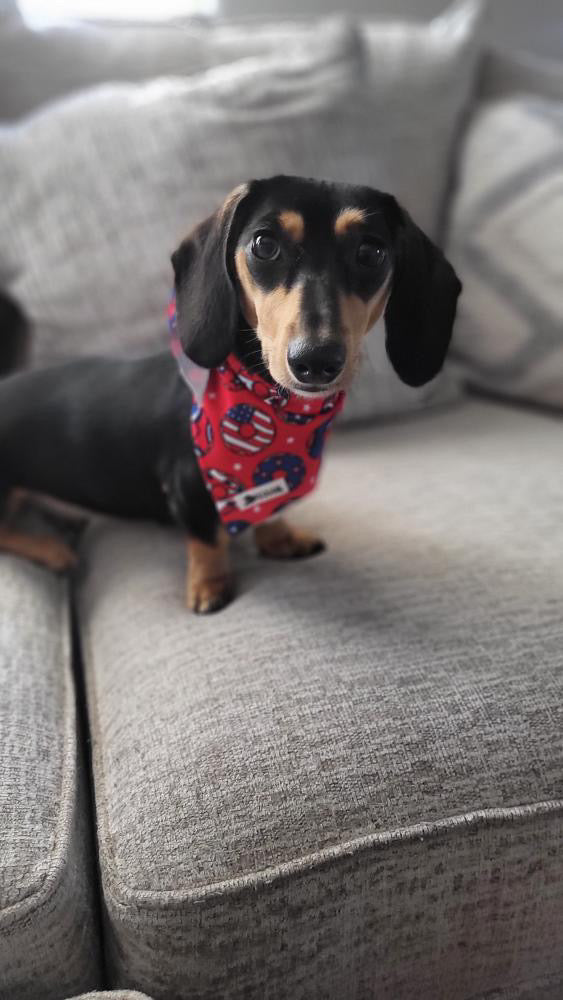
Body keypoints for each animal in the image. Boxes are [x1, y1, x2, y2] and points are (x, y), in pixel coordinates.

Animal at [0, 177, 462, 612]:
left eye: (371, 252)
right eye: (264, 244)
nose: (315, 360)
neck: (273, 410)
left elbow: (270, 511)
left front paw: (279, 537)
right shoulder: (188, 486)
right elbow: (207, 539)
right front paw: (210, 585)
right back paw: (52, 550)